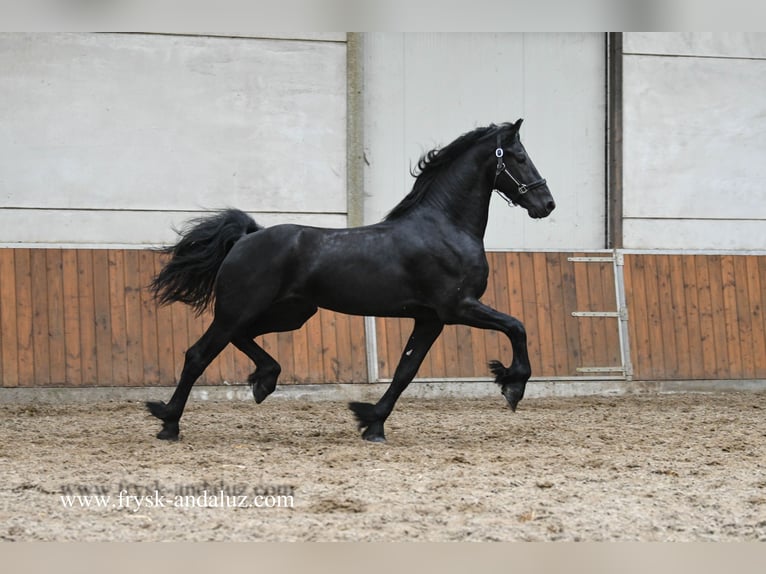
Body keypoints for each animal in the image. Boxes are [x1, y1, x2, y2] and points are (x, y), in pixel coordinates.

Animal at [147, 120, 556, 446]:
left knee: (240, 339)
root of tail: (247, 237)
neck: (445, 227)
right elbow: (516, 326)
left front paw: (371, 422)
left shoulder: (430, 319)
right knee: (198, 355)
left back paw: (264, 382)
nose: (547, 203)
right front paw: (512, 384)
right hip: (239, 309)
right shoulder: (458, 307)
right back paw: (168, 423)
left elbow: (405, 372)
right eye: (520, 157)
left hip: (291, 312)